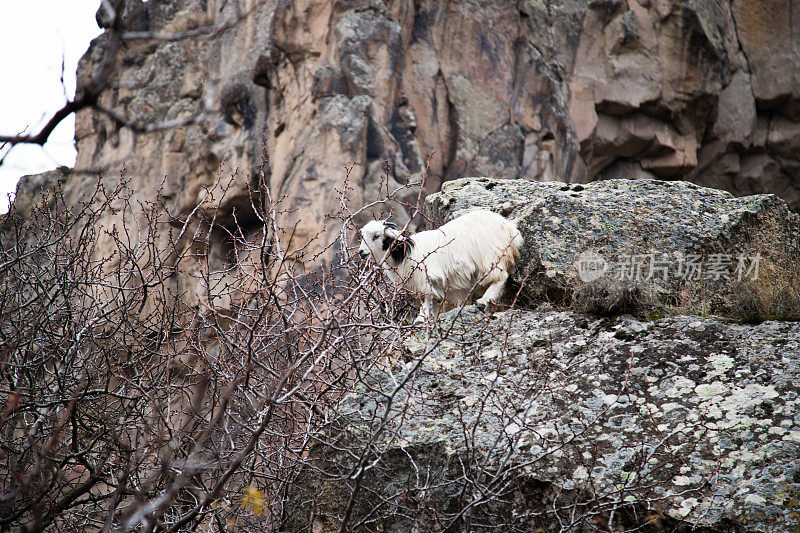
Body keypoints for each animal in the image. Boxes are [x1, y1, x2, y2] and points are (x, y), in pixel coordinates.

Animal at [358, 210, 524, 322]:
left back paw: (483, 301)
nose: (361, 252)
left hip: (492, 256)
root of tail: (508, 226)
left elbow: (426, 298)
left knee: (501, 277)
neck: (405, 252)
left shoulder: (425, 278)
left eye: (376, 236)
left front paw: (420, 318)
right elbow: (433, 301)